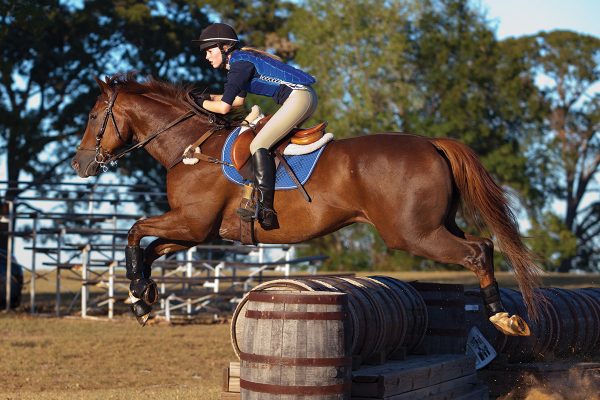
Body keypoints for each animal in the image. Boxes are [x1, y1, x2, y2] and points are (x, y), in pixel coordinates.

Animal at [71, 72, 544, 334]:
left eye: (94, 117)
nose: (78, 164)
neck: (191, 146)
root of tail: (431, 143)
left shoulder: (191, 224)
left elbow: (134, 232)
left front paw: (138, 293)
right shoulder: (195, 231)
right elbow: (149, 247)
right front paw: (143, 296)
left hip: (412, 234)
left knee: (477, 250)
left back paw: (502, 317)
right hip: (435, 224)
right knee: (483, 245)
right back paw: (505, 314)